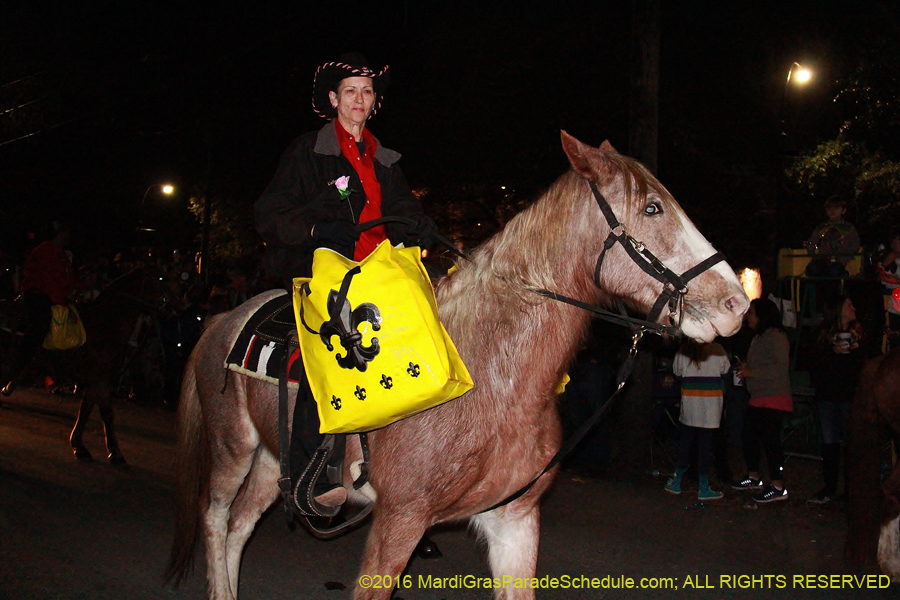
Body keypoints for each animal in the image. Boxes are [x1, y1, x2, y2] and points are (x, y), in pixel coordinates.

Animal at [165, 132, 748, 600]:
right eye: (652, 209)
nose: (736, 303)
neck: (493, 377)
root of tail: (222, 318)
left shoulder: (515, 521)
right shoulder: (398, 522)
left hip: (271, 458)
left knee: (239, 528)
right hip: (232, 448)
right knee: (216, 519)